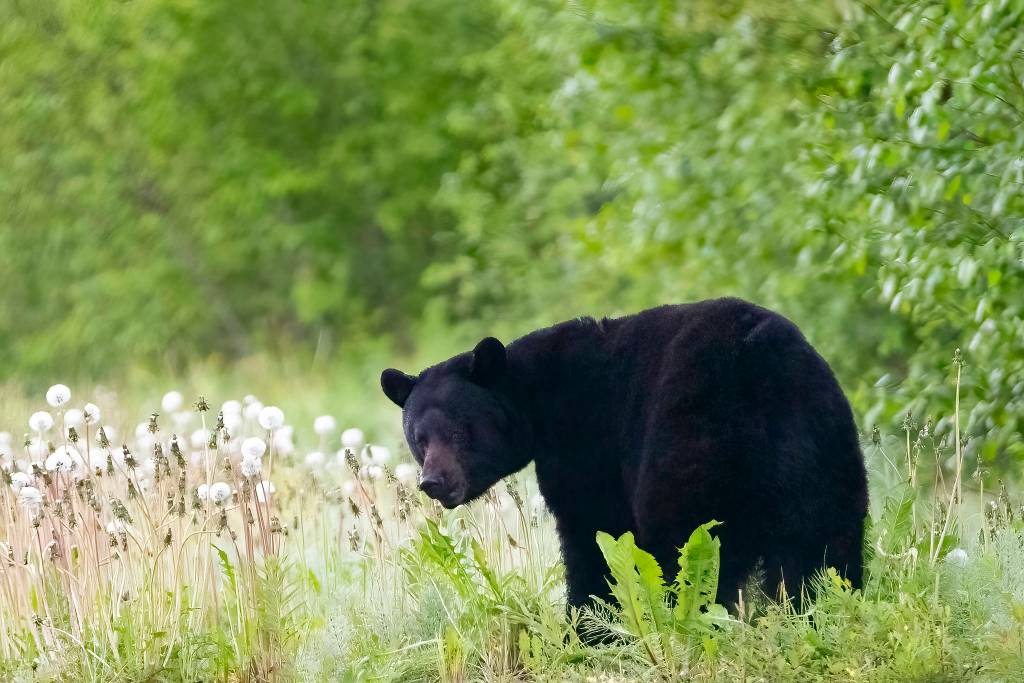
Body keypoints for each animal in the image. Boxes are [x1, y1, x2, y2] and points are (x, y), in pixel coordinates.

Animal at [380, 297, 868, 617]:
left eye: (459, 431)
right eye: (419, 438)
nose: (433, 482)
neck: (538, 398)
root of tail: (767, 377)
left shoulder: (587, 444)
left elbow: (592, 533)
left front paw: (586, 624)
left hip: (696, 446)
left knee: (688, 542)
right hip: (825, 450)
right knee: (826, 546)